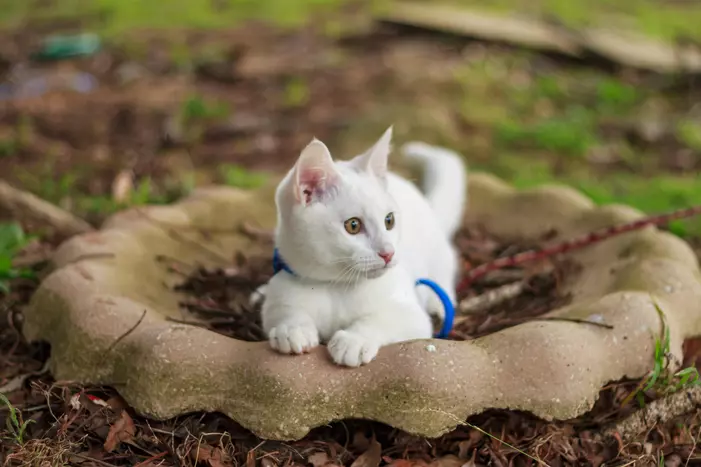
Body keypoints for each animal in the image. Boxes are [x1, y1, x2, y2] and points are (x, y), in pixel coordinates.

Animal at [258, 126, 464, 368]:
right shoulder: (282, 290)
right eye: (353, 225)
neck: (337, 287)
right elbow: (283, 310)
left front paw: (355, 340)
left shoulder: (411, 314)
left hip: (438, 256)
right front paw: (292, 328)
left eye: (389, 220)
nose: (388, 253)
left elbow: (383, 319)